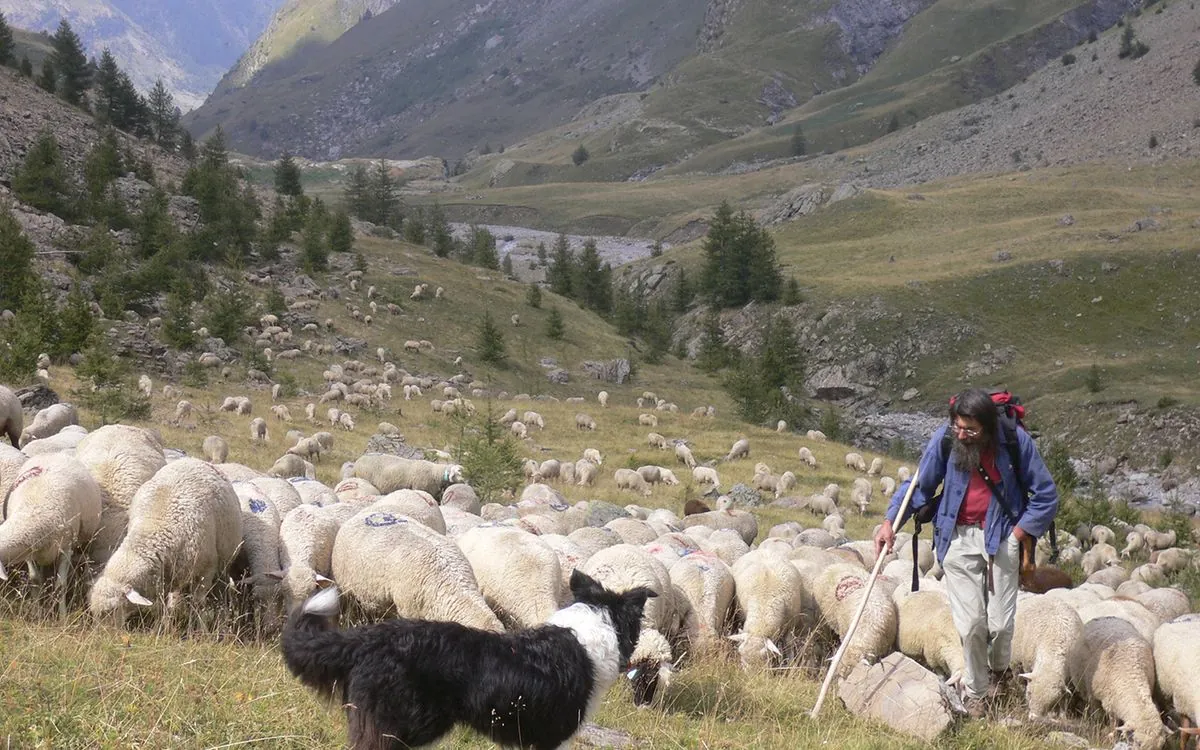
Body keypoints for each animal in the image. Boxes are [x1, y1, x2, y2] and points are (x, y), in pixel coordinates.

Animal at [0, 451, 102, 614]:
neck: (32, 514)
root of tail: (54, 454)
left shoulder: (66, 547)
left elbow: (60, 586)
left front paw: (63, 616)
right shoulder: (29, 549)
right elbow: (35, 579)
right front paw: (37, 612)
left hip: (86, 538)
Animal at [87, 456, 243, 624]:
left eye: (113, 610)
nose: (105, 631)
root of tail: (194, 459)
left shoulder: (205, 571)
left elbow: (198, 605)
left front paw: (199, 627)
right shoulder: (165, 576)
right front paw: (165, 623)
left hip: (224, 562)